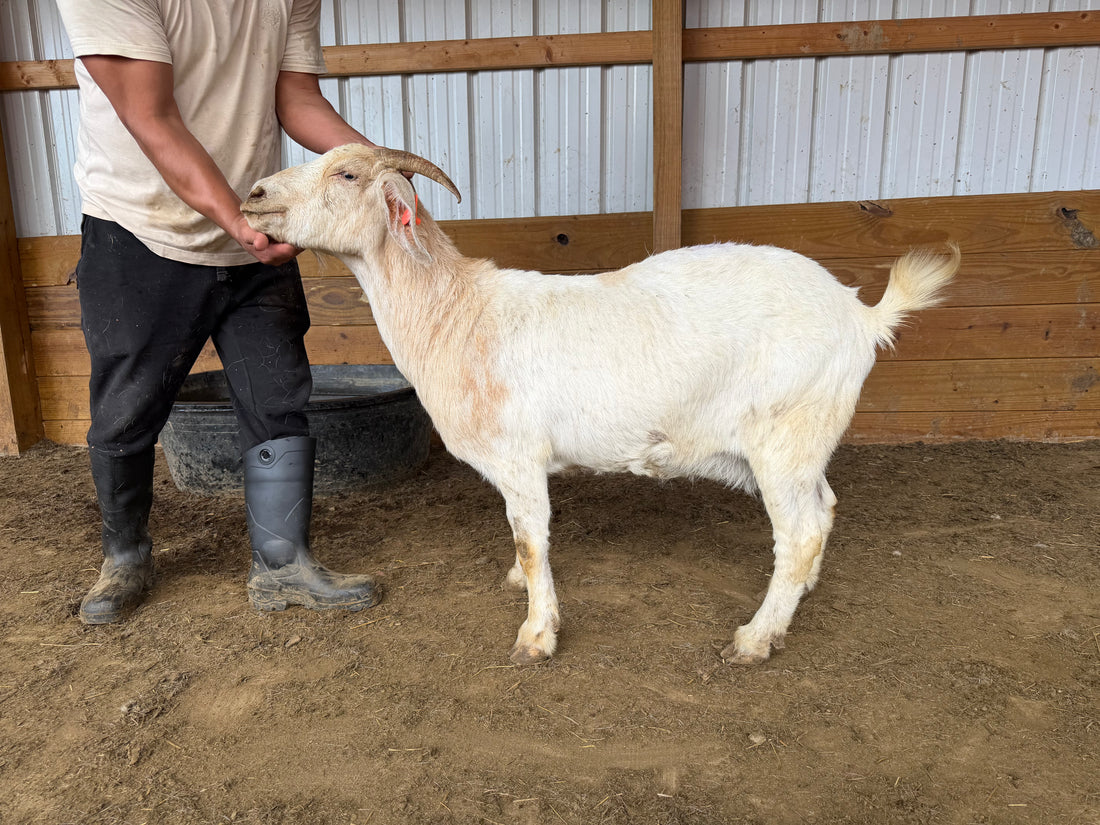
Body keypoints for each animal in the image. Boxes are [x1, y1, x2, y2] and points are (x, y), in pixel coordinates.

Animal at [242, 144, 959, 666]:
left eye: (347, 172)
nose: (253, 196)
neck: (460, 315)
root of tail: (862, 317)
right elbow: (522, 538)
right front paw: (518, 586)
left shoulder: (518, 453)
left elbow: (532, 540)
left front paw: (536, 636)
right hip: (805, 439)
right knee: (824, 509)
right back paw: (798, 596)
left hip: (786, 434)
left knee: (802, 531)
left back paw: (756, 637)